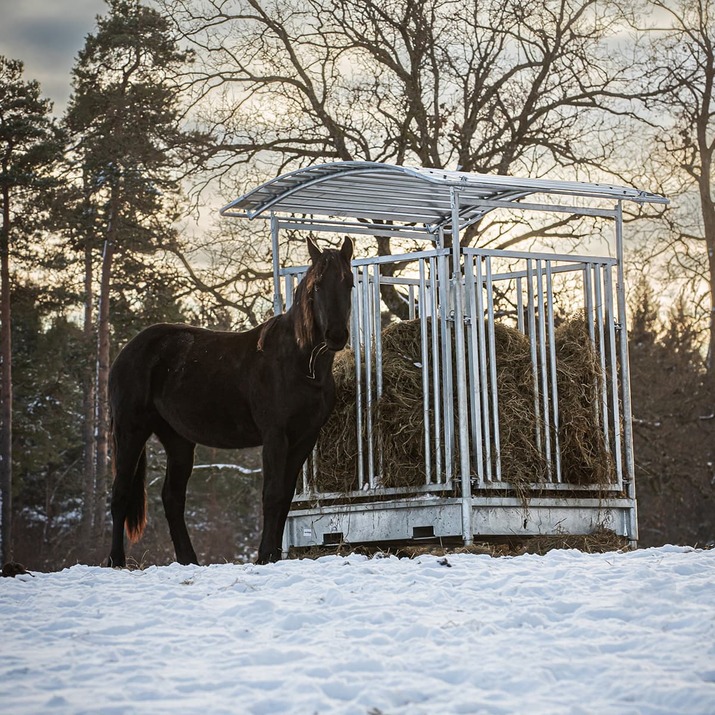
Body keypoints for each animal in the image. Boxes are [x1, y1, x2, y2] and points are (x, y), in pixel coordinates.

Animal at [107, 238, 354, 568]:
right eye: (317, 285)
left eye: (349, 282)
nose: (336, 335)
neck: (300, 363)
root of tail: (128, 350)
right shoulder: (275, 436)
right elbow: (272, 494)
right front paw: (265, 556)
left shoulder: (304, 438)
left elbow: (286, 496)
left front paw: (272, 554)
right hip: (130, 430)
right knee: (120, 493)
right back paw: (115, 561)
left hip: (178, 439)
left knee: (172, 498)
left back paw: (189, 560)